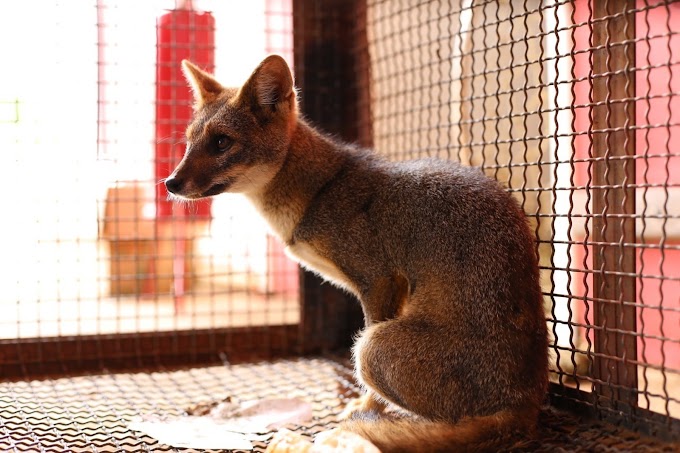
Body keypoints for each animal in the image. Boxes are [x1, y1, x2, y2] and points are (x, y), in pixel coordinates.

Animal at [166, 54, 552, 450]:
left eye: (221, 142)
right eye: (189, 142)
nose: (170, 183)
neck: (319, 189)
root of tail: (526, 403)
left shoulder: (379, 281)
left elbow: (372, 391)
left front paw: (364, 410)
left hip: (370, 348)